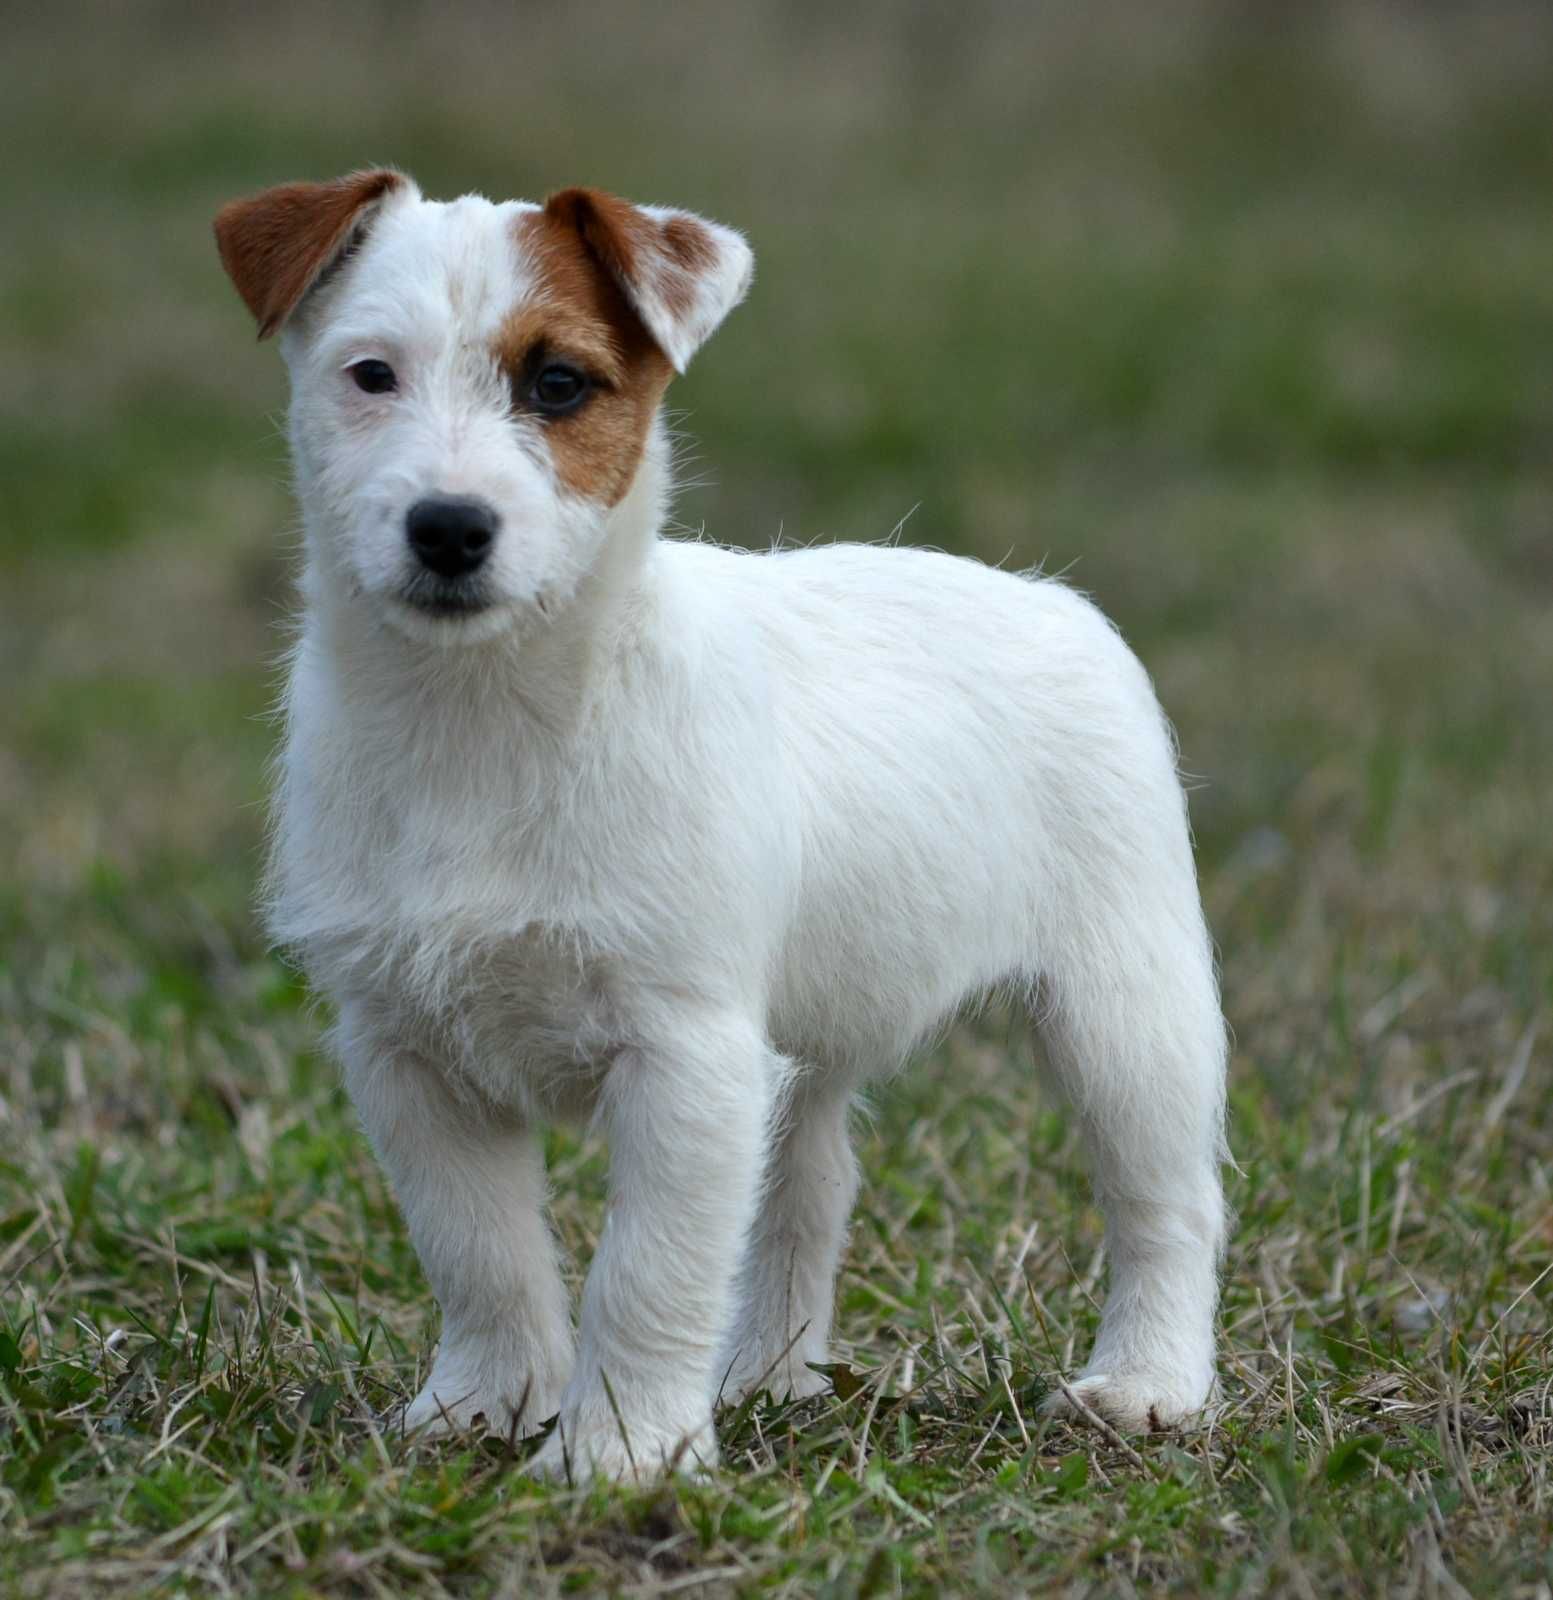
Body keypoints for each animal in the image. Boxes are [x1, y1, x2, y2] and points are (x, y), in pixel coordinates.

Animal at [212, 168, 1234, 1478]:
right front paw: (485, 1403)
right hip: (802, 1045)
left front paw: (617, 1453)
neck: (488, 720)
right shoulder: (407, 1052)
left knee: (1164, 1202)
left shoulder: (684, 1054)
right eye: (370, 374)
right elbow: (481, 1253)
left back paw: (1147, 1384)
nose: (448, 526)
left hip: (1125, 1008)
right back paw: (762, 1379)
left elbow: (645, 1271)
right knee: (805, 1194)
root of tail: (1054, 598)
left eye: (559, 384)